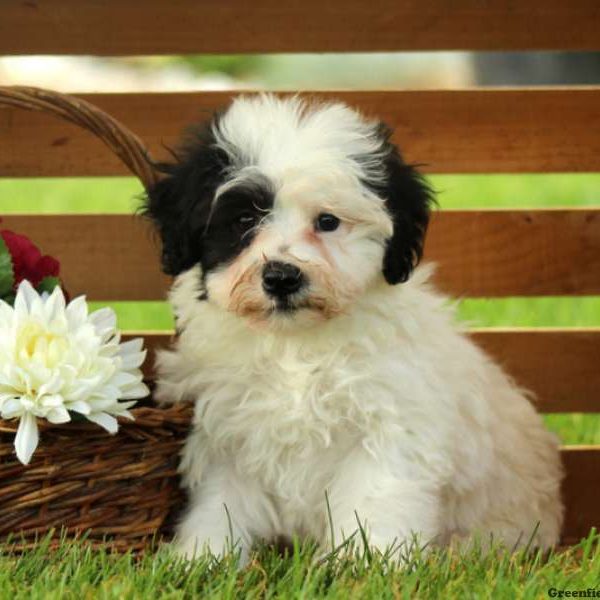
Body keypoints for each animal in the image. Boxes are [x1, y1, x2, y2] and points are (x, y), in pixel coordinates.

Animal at [144, 94, 564, 564]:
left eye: (327, 221)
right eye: (243, 222)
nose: (282, 277)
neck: (295, 346)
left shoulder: (388, 427)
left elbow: (374, 503)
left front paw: (368, 564)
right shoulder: (226, 433)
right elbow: (220, 503)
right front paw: (202, 557)